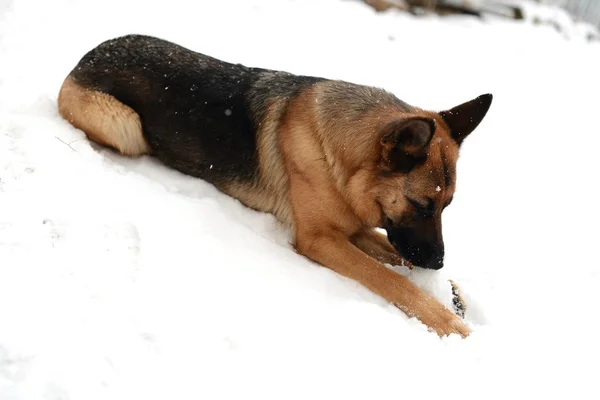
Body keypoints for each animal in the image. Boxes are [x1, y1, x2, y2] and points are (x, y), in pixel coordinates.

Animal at [58, 36, 492, 340]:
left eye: (447, 206)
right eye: (422, 205)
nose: (438, 263)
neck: (341, 152)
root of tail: (93, 50)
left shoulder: (353, 226)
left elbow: (396, 253)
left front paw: (453, 296)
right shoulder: (320, 238)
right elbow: (391, 278)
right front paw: (450, 323)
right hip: (125, 126)